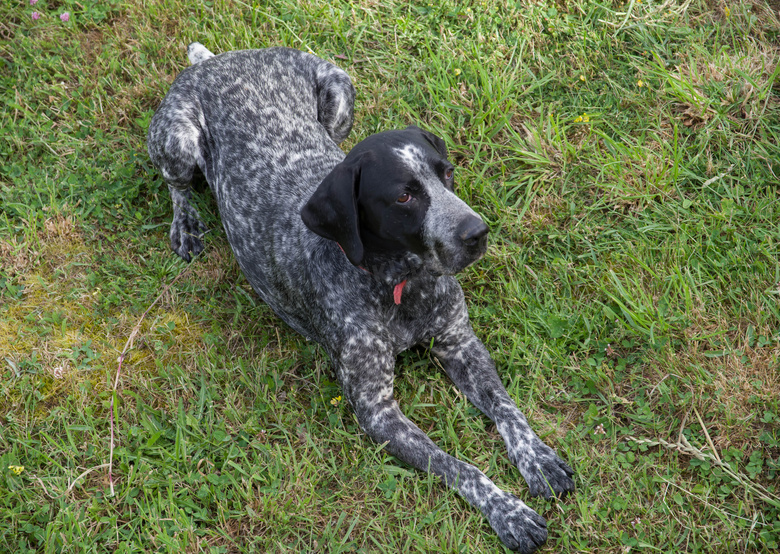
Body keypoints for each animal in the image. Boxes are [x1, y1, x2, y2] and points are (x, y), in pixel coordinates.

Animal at [148, 44, 572, 552]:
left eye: (447, 173)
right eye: (405, 197)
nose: (478, 233)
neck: (400, 284)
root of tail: (214, 59)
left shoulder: (461, 344)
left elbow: (508, 409)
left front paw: (538, 459)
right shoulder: (377, 409)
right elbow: (459, 466)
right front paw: (508, 511)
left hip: (339, 91)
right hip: (178, 140)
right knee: (177, 185)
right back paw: (185, 224)